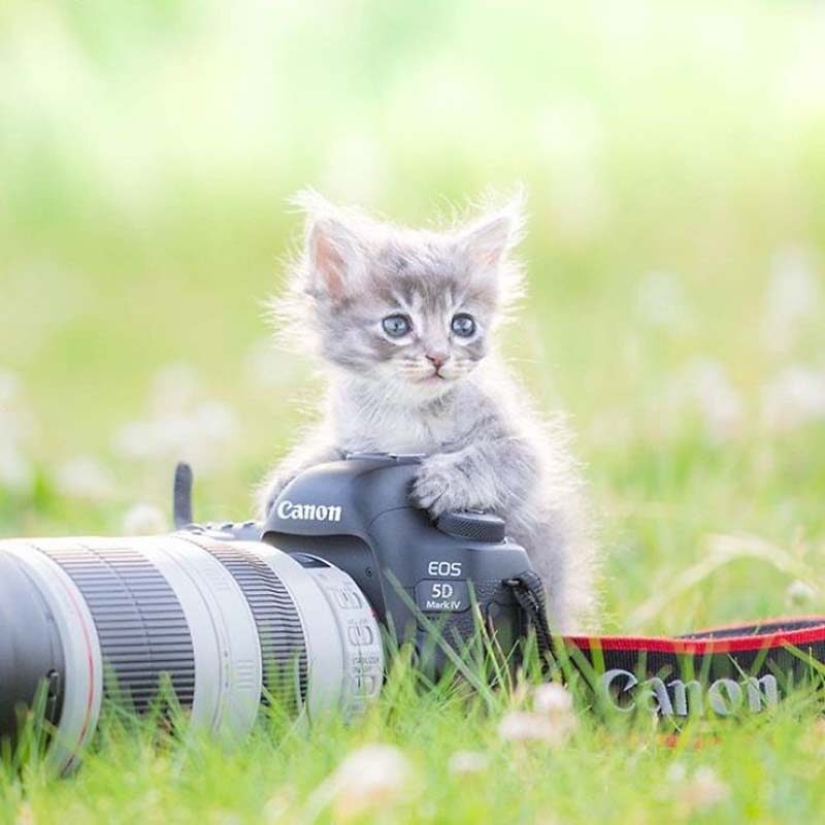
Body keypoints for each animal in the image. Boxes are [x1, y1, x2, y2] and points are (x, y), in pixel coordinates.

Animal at [258, 193, 600, 632]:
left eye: (463, 325)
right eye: (396, 325)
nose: (438, 356)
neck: (408, 411)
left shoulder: (522, 447)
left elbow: (497, 459)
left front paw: (444, 480)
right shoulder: (354, 436)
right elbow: (330, 451)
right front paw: (287, 479)